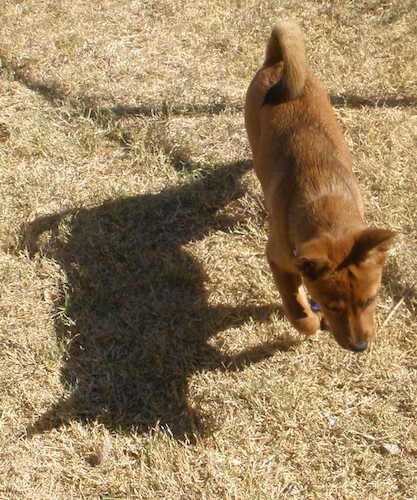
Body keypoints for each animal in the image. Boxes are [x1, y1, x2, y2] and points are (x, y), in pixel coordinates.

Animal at [245, 21, 394, 352]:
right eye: (332, 305)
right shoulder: (278, 261)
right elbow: (297, 310)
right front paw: (312, 322)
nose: (360, 347)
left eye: (370, 300)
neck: (325, 199)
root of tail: (278, 62)